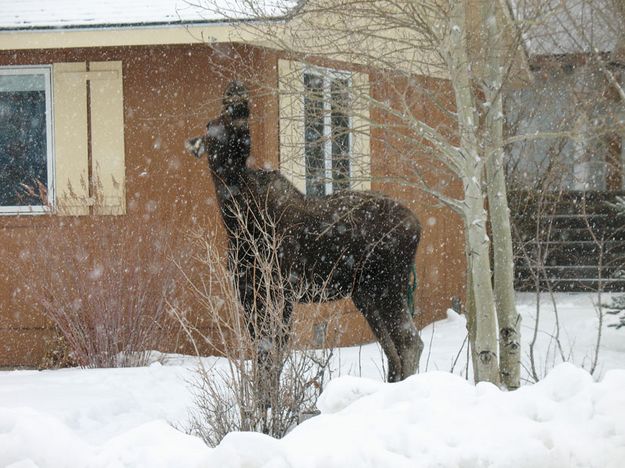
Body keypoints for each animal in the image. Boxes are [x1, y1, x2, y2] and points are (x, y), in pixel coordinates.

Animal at [185, 79, 424, 380]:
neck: (238, 223)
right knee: (393, 349)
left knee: (410, 342)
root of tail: (417, 225)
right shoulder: (248, 294)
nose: (237, 97)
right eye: (210, 124)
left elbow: (274, 358)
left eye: (238, 121)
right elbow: (262, 359)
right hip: (365, 294)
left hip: (387, 285)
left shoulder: (283, 293)